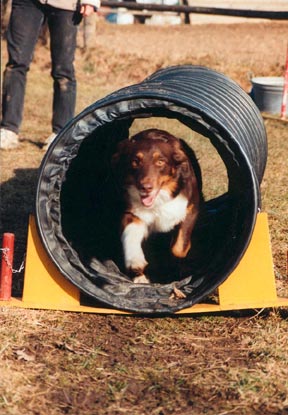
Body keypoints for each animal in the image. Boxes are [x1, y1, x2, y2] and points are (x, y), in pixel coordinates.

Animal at [111, 129, 202, 286]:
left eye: (160, 162)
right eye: (135, 161)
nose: (145, 187)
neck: (159, 200)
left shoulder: (190, 208)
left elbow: (179, 248)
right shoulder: (131, 212)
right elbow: (131, 235)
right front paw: (136, 263)